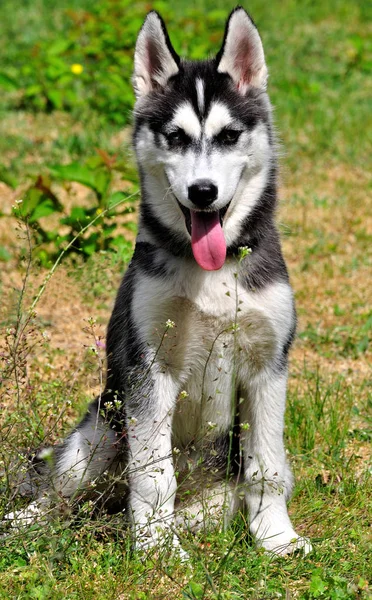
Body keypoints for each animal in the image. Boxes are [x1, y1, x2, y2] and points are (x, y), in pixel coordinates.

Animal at [6, 7, 310, 556]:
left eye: (229, 136)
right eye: (175, 136)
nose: (203, 191)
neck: (213, 272)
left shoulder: (268, 366)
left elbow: (268, 467)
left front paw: (276, 537)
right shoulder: (148, 365)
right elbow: (152, 474)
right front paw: (156, 549)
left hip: (209, 500)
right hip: (100, 432)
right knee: (62, 494)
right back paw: (27, 522)